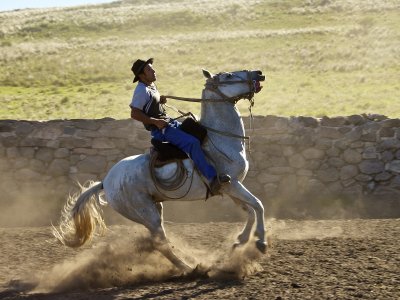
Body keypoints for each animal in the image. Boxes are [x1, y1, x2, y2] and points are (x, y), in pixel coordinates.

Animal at [53, 69, 266, 274]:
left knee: (160, 241)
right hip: (147, 214)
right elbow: (258, 205)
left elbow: (250, 210)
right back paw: (190, 268)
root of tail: (105, 181)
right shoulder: (232, 185)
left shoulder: (230, 188)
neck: (220, 138)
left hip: (155, 208)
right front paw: (261, 241)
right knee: (160, 244)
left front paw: (241, 240)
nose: (259, 73)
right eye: (229, 75)